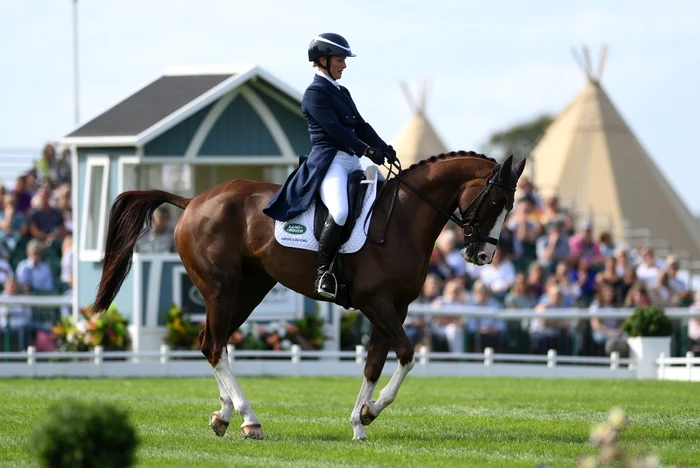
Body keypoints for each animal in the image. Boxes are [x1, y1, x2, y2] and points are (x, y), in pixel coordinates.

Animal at [90, 152, 524, 440]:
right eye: (496, 202)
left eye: (512, 206)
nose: (482, 256)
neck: (403, 218)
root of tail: (194, 200)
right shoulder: (376, 304)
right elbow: (406, 355)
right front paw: (370, 412)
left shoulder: (394, 308)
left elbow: (374, 364)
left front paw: (360, 421)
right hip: (220, 289)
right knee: (214, 346)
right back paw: (250, 420)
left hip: (248, 290)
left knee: (212, 342)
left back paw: (224, 416)